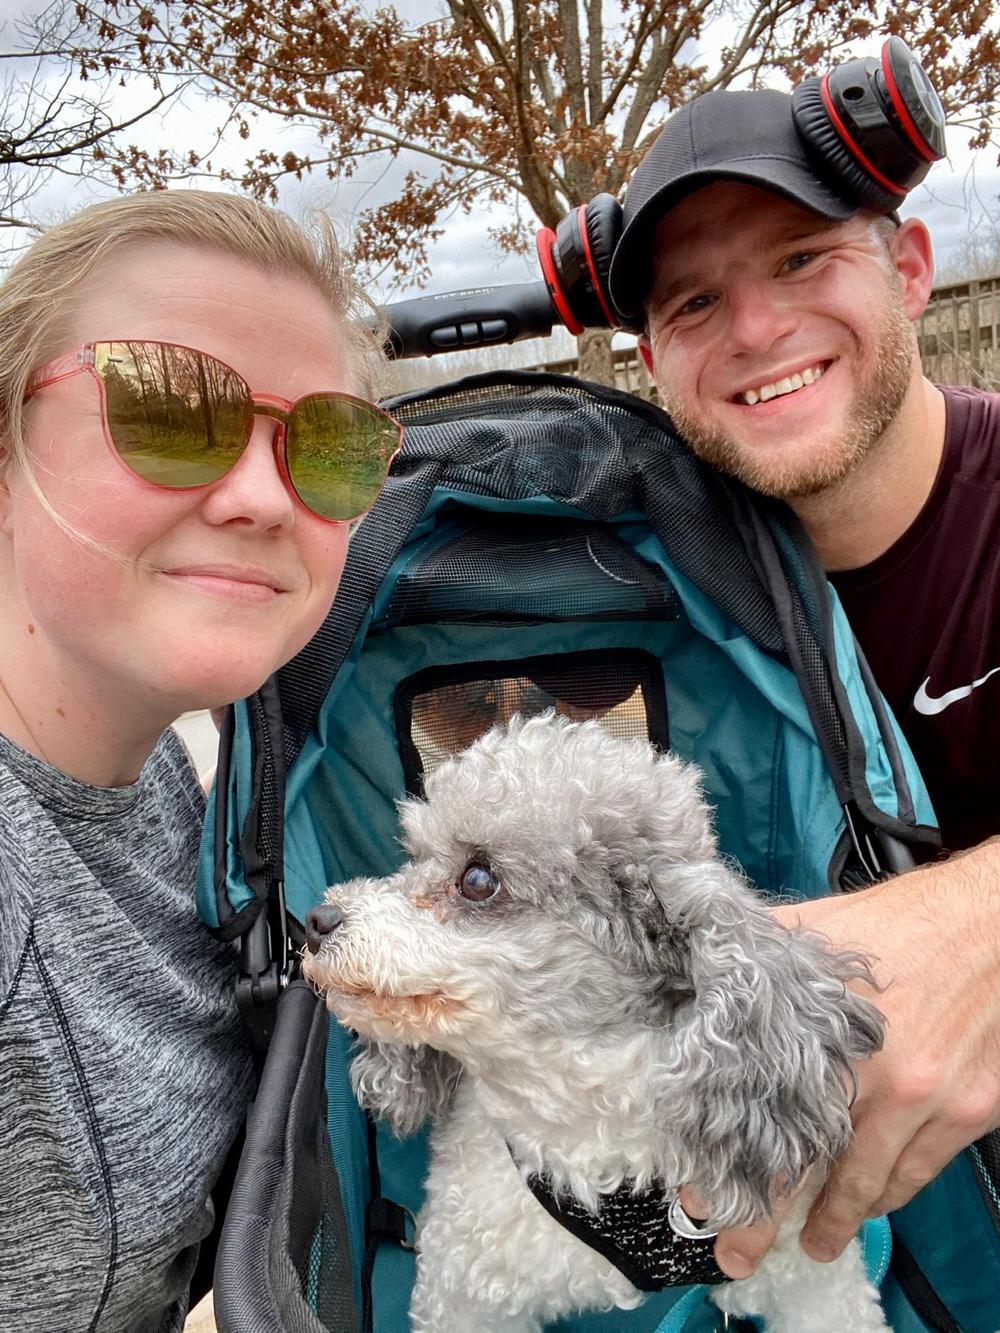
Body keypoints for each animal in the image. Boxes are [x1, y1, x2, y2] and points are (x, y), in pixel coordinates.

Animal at [302, 713, 888, 1332]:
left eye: (478, 879)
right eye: (413, 856)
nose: (317, 920)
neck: (588, 1130)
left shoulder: (810, 1277)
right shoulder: (464, 1287)